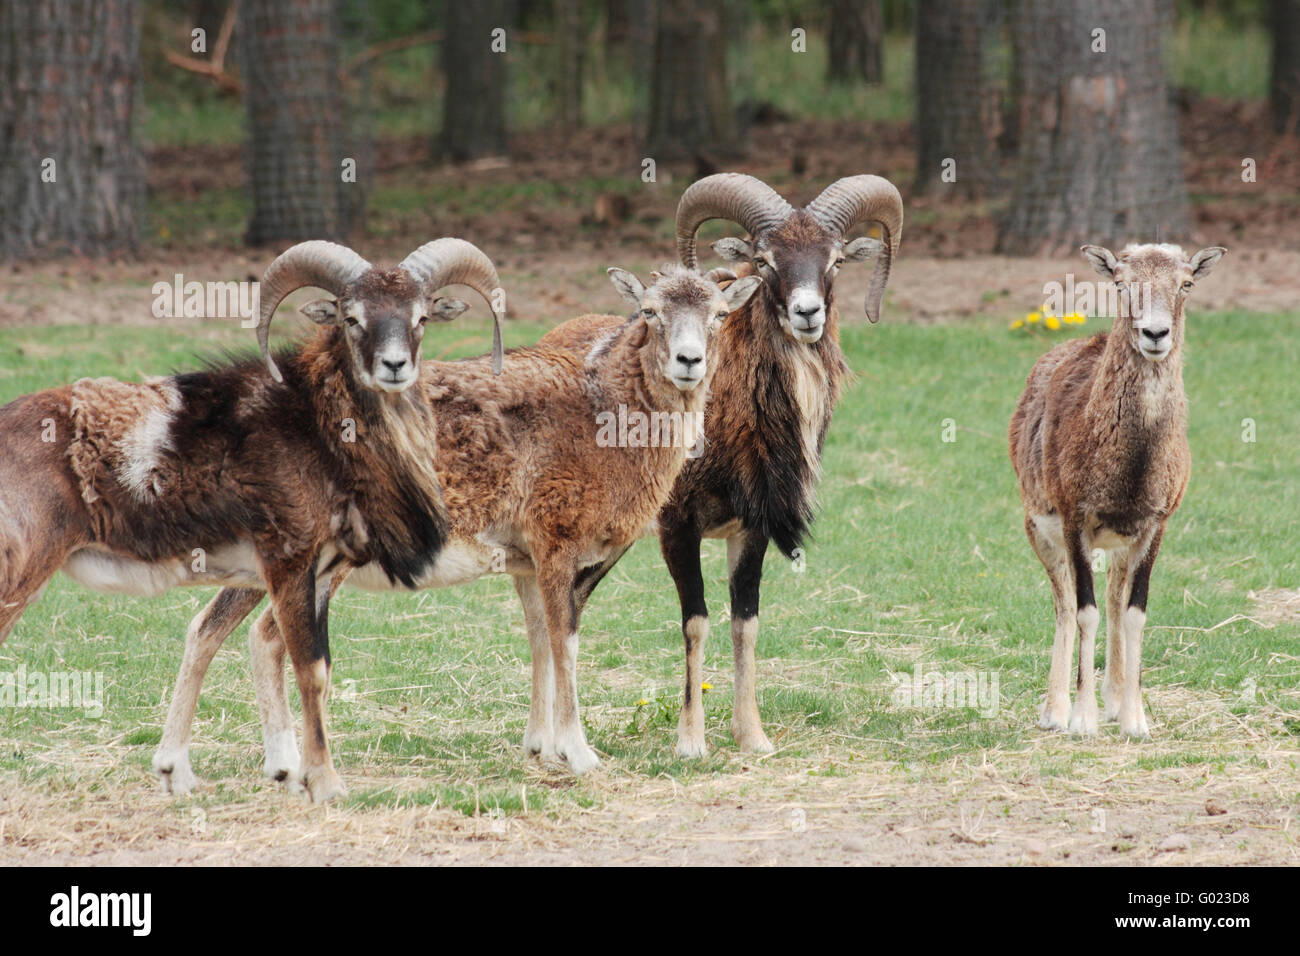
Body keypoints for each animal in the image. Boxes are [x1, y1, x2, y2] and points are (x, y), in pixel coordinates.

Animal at [1008, 243, 1222, 738]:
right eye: (1122, 284)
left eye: (1186, 283)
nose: (1155, 333)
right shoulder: (1074, 518)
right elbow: (1082, 610)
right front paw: (1083, 721)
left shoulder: (1155, 523)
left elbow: (1132, 611)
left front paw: (1134, 719)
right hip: (1038, 530)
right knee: (1065, 604)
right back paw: (1055, 711)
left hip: (1119, 545)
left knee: (1111, 598)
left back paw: (1113, 699)